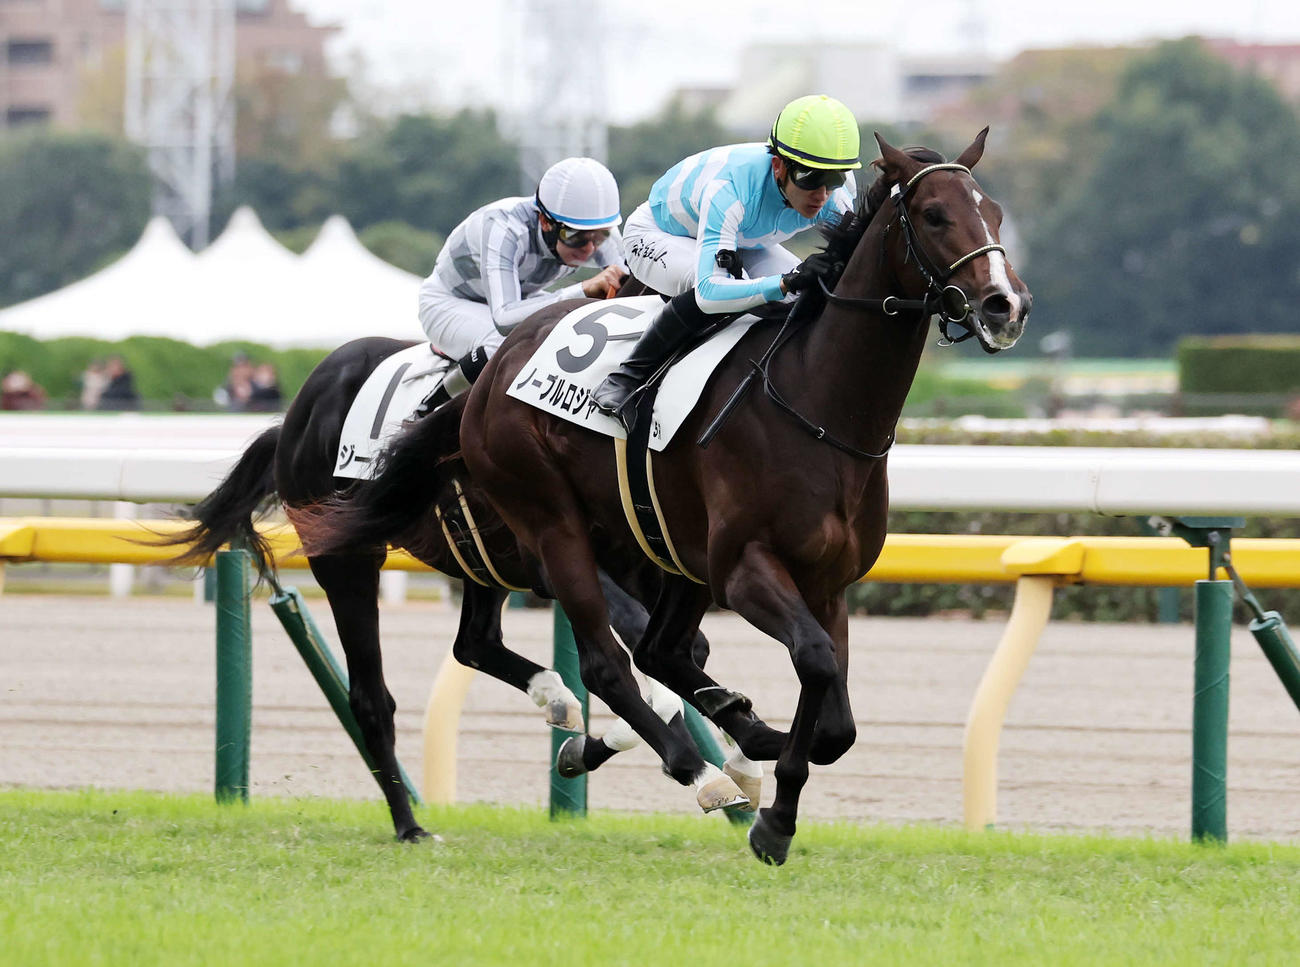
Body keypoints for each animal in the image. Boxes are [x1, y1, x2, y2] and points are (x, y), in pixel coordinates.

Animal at [164, 337, 747, 843]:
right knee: (372, 696)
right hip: (347, 559)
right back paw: (409, 825)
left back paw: (554, 697)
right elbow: (639, 654)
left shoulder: (644, 558)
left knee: (473, 643)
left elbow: (683, 653)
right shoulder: (560, 550)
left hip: (480, 562)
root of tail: (294, 416)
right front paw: (710, 766)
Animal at [448, 130, 1029, 864]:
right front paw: (773, 812)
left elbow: (833, 714)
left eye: (997, 212)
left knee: (662, 650)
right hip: (557, 524)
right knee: (611, 664)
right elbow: (814, 660)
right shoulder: (745, 568)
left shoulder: (827, 581)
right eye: (933, 215)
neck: (819, 407)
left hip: (674, 553)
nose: (1006, 306)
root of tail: (497, 359)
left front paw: (774, 790)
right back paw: (696, 770)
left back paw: (720, 736)